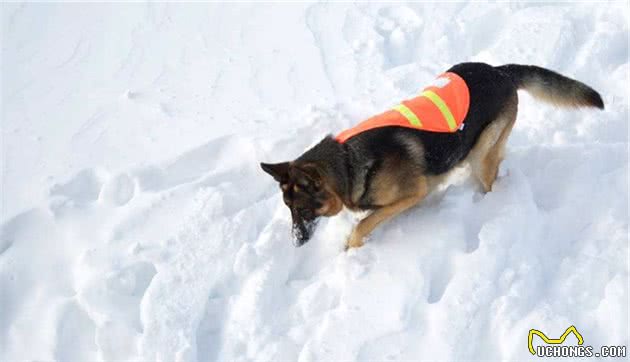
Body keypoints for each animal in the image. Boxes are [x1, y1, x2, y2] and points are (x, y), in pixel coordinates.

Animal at [260, 63, 604, 249]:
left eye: (303, 209)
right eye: (288, 209)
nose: (295, 242)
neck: (346, 161)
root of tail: (499, 71)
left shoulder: (412, 193)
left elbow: (363, 224)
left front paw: (351, 246)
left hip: (482, 151)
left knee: (491, 174)